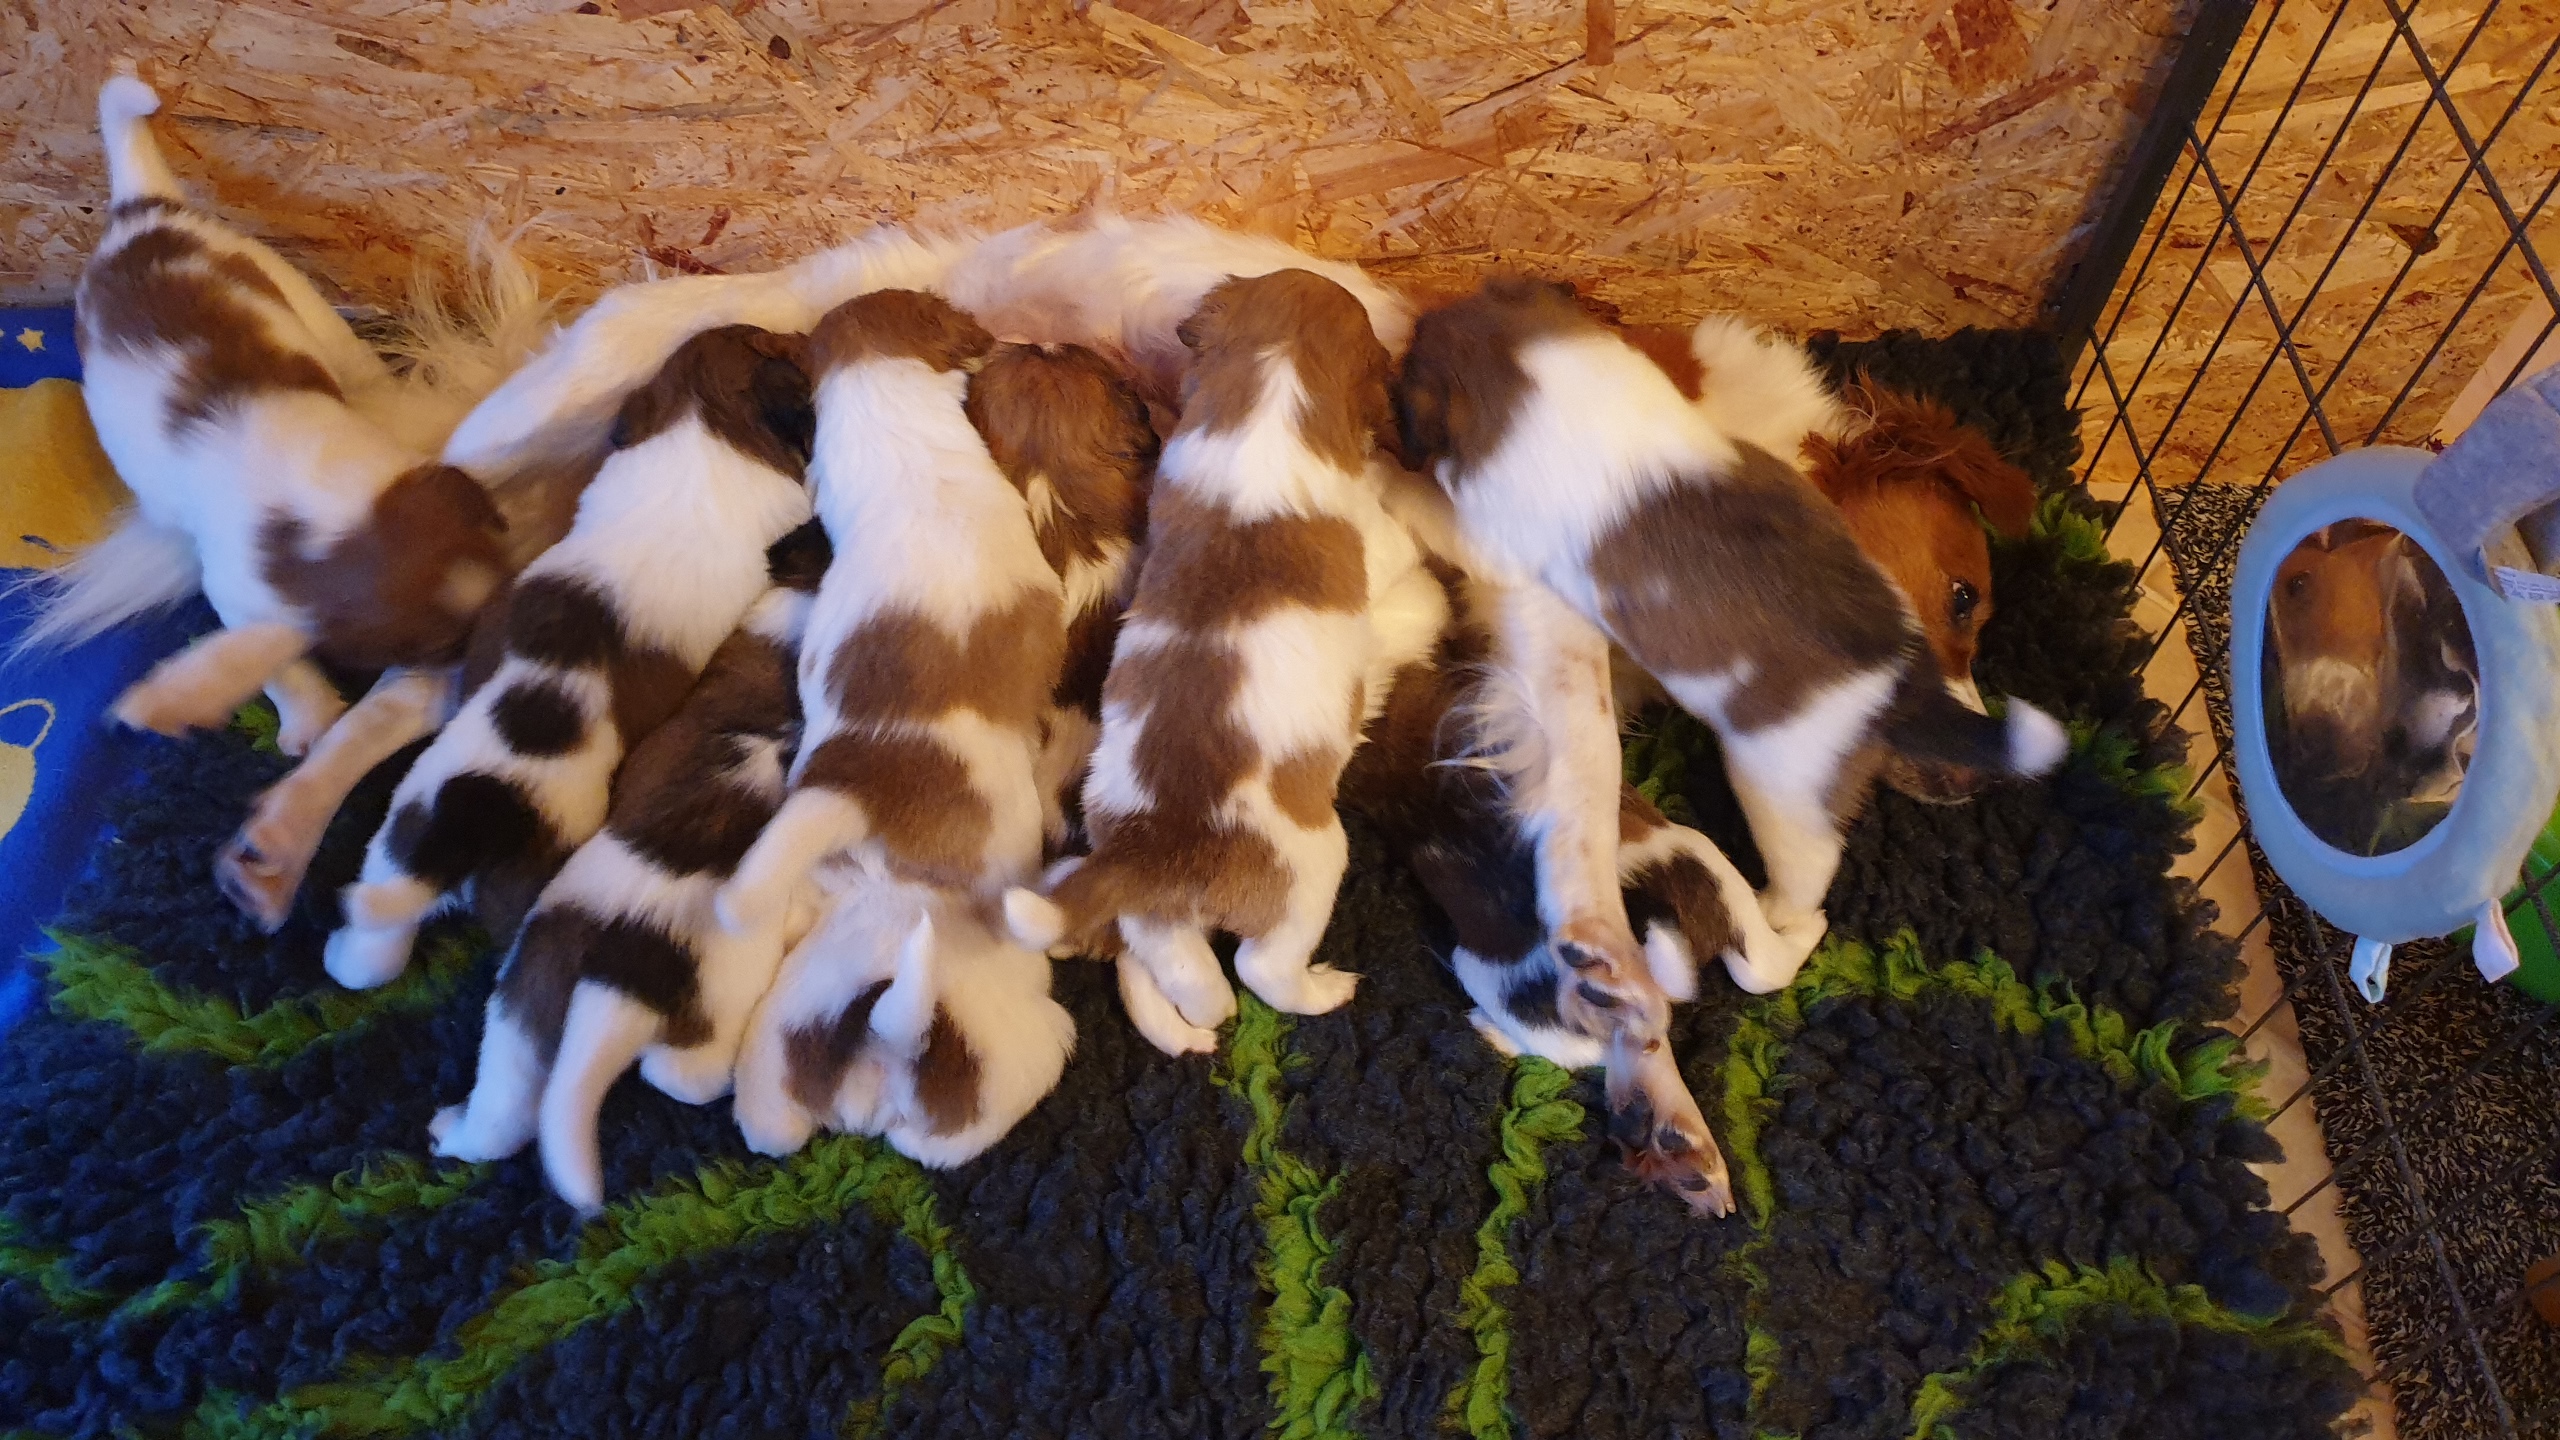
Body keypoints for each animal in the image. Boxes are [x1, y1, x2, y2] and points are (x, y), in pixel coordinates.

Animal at [38, 76, 509, 756]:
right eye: (442, 643)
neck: (331, 499)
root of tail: (141, 211)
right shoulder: (238, 587)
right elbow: (281, 658)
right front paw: (310, 717)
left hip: (282, 281)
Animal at [324, 326, 816, 988]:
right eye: (780, 344)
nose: (805, 336)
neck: (704, 420)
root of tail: (488, 808)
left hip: (409, 821)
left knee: (384, 920)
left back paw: (346, 955)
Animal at [999, 269, 1446, 1055]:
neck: (1267, 395)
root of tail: (1147, 850)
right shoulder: (1381, 542)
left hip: (1159, 918)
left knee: (1178, 970)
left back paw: (1196, 1028)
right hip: (1314, 865)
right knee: (1259, 968)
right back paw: (1322, 990)